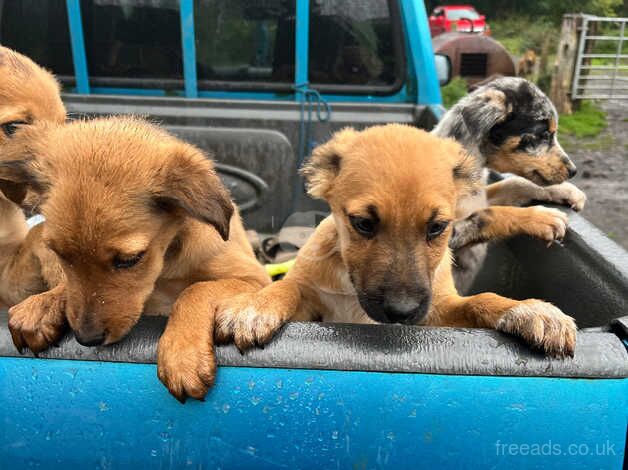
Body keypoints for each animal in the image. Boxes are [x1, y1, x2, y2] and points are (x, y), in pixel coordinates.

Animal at [0, 116, 270, 400]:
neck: (165, 264)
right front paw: (42, 305)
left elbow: (196, 289)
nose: (87, 339)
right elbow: (69, 288)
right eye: (59, 254)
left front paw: (181, 354)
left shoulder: (253, 279)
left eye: (129, 260)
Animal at [218, 125, 576, 356]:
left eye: (437, 227)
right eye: (363, 224)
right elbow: (289, 287)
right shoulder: (313, 305)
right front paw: (255, 305)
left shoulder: (436, 314)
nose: (400, 313)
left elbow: (480, 300)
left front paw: (526, 310)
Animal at [434, 75, 588, 292]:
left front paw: (566, 190)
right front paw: (541, 217)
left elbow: (514, 184)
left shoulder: (482, 196)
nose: (573, 171)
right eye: (544, 135)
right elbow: (487, 214)